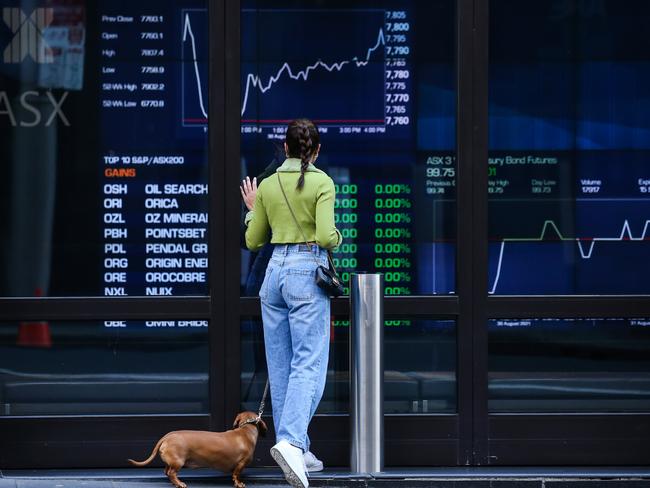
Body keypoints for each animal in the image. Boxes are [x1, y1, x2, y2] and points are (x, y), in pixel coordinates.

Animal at [129, 412, 266, 488]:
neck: (245, 431)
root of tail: (168, 436)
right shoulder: (241, 464)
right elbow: (236, 475)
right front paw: (239, 484)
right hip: (178, 461)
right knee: (171, 473)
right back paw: (180, 483)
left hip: (172, 461)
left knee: (167, 471)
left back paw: (175, 483)